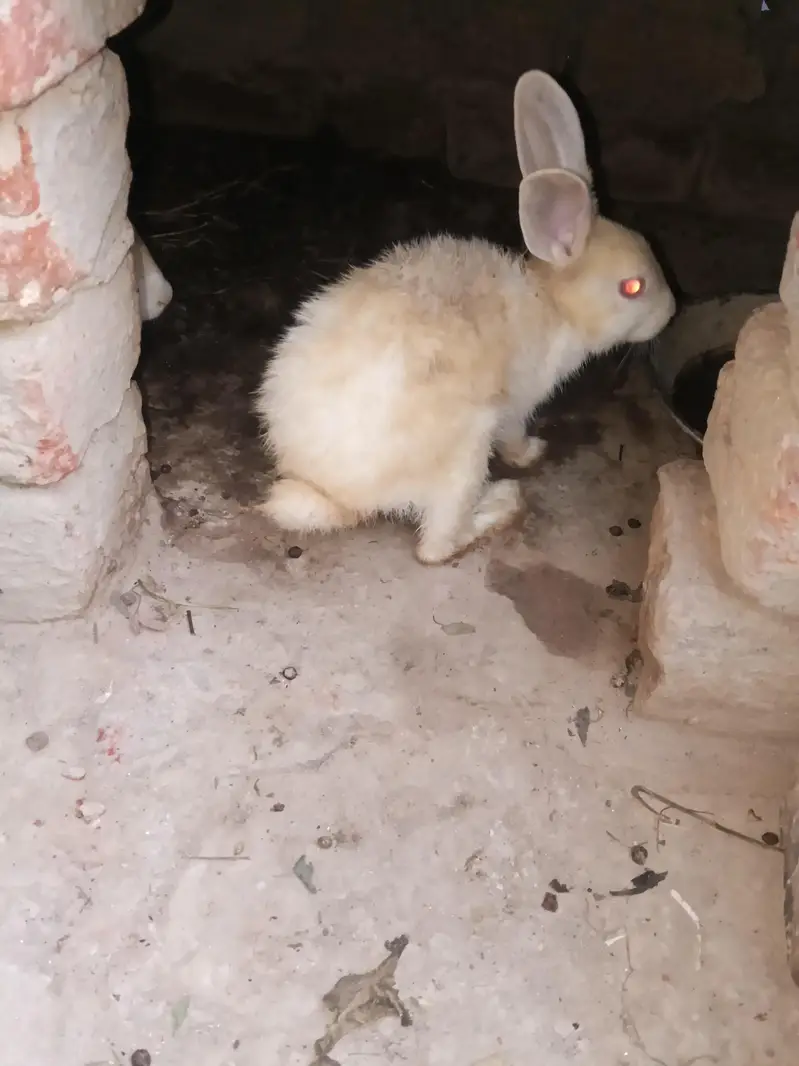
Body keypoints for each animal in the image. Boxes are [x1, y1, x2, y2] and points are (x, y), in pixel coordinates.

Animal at [254, 70, 676, 565]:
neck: (553, 306)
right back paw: (501, 503)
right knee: (435, 547)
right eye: (633, 288)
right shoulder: (517, 405)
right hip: (465, 455)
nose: (671, 311)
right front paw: (531, 453)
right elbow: (513, 435)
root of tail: (330, 494)